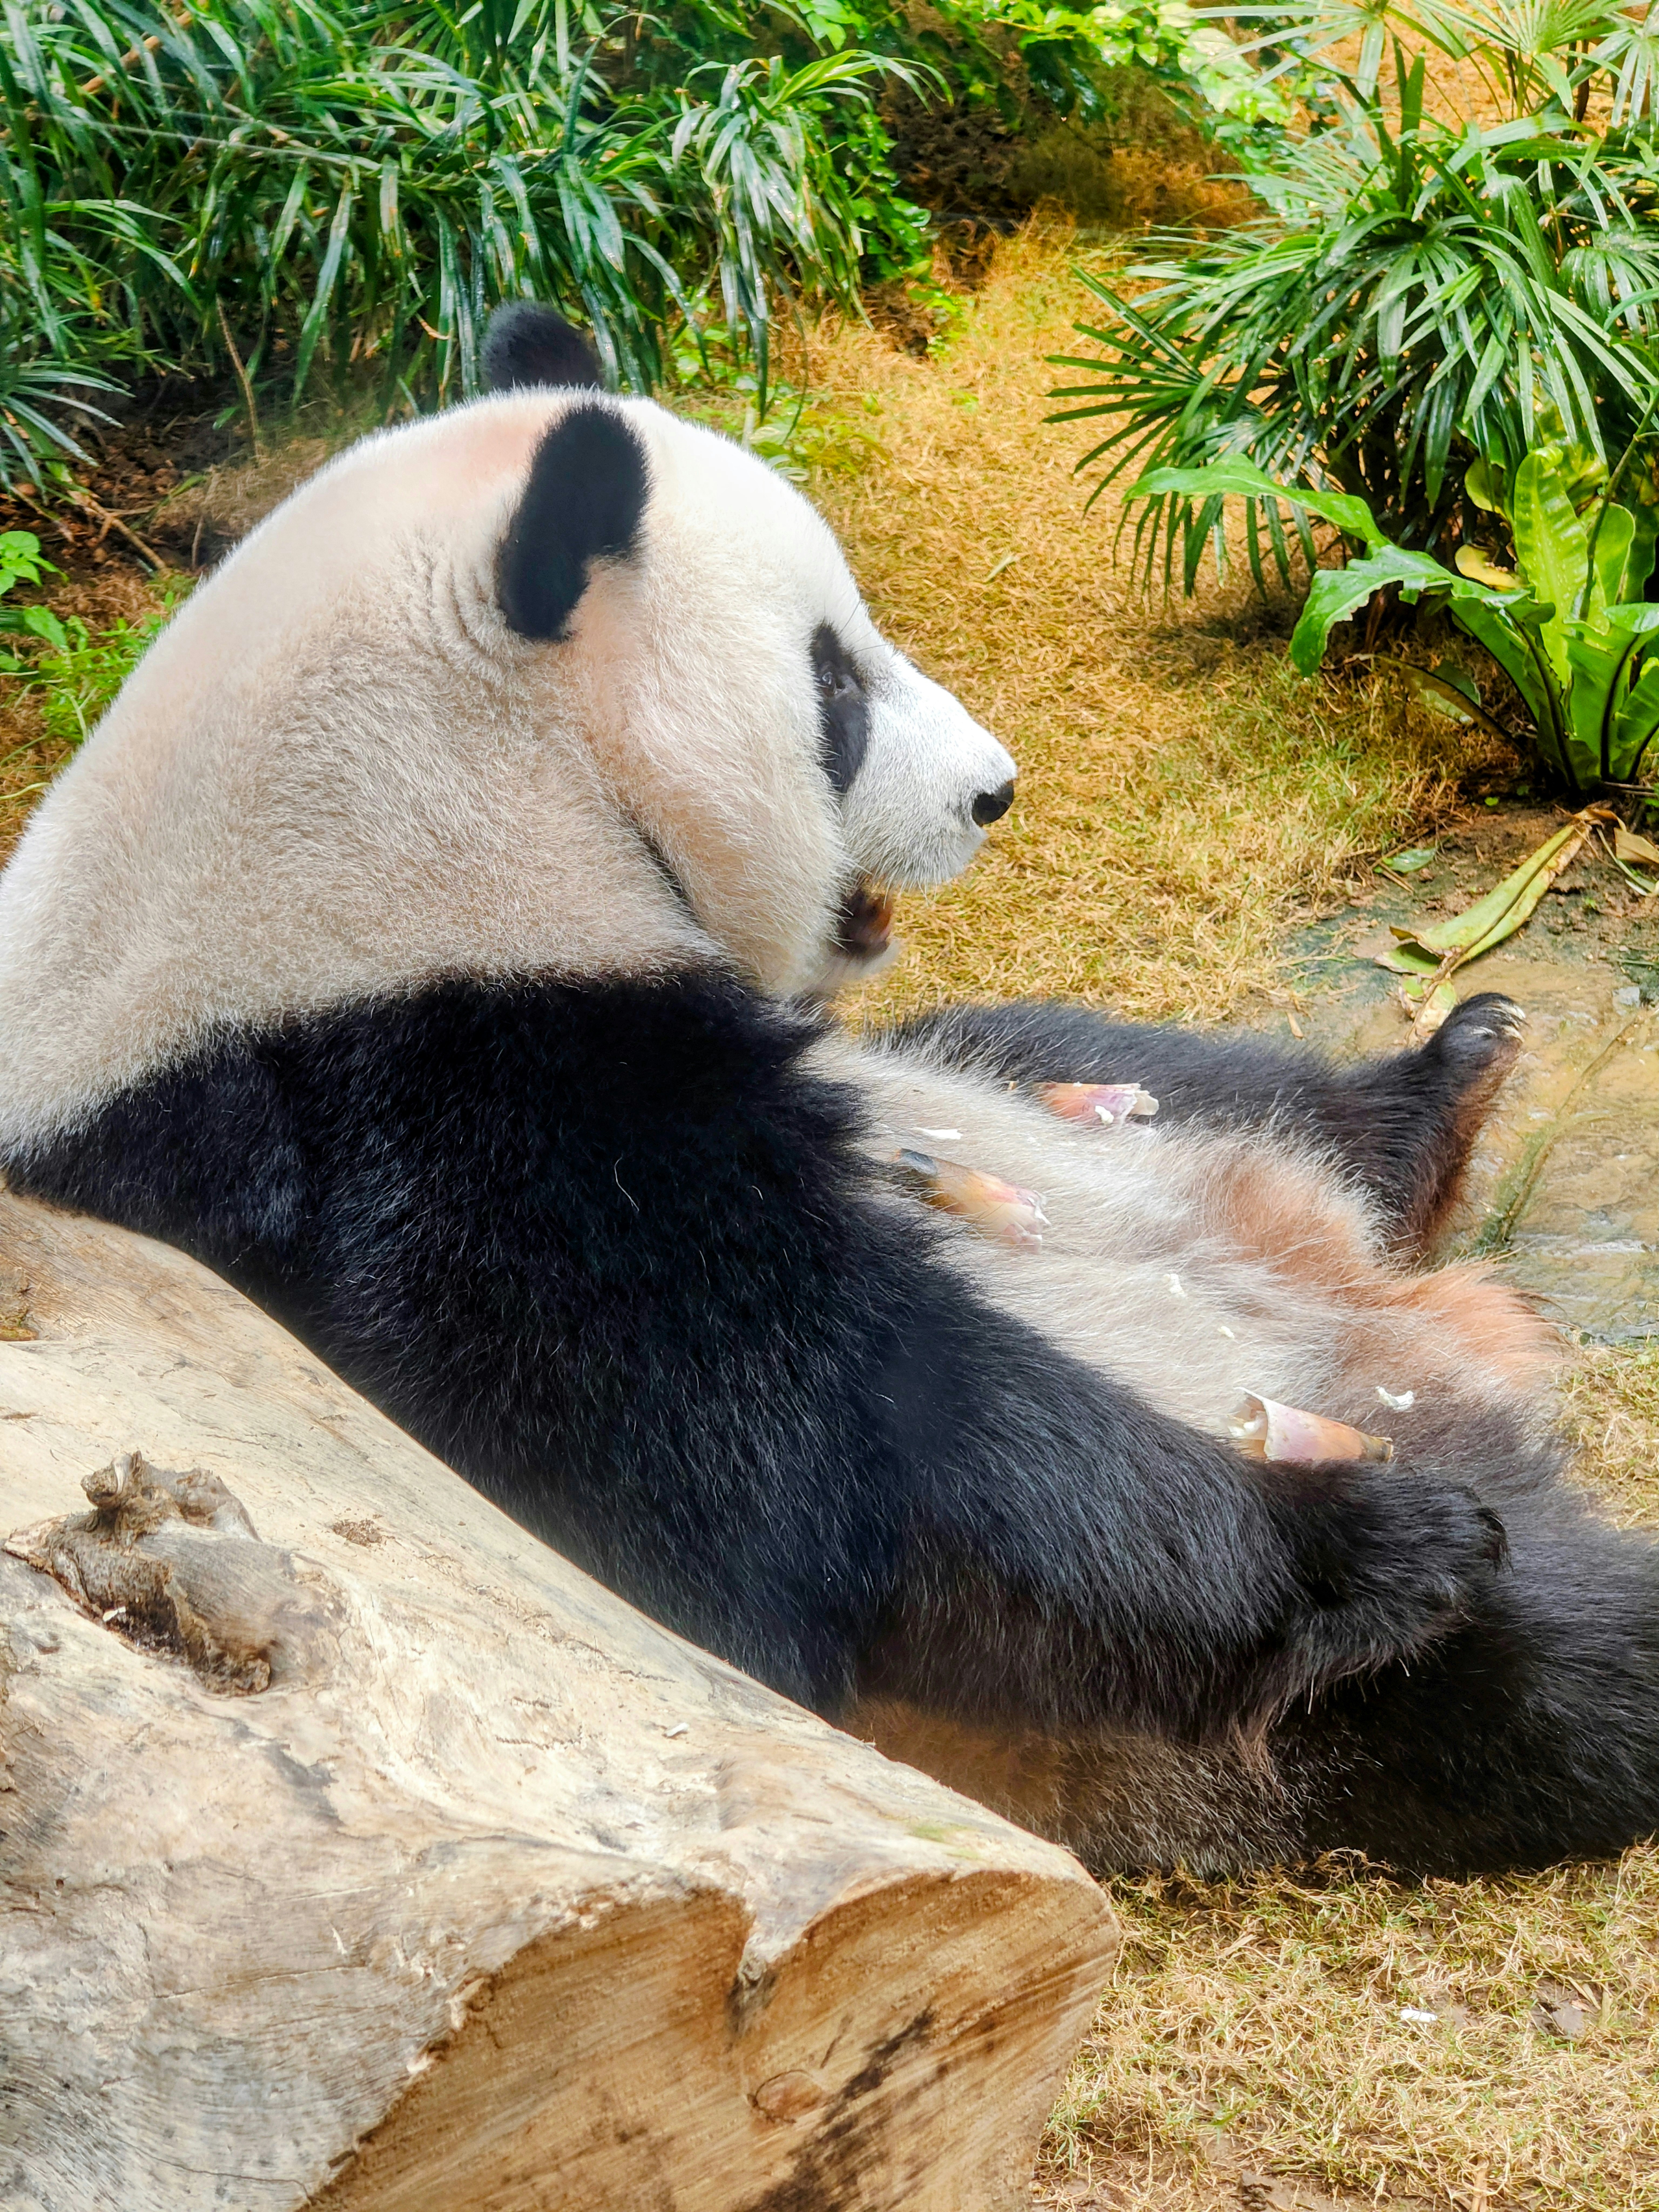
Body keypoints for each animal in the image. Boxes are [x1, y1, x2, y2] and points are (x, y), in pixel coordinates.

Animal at [1, 302, 1655, 1879]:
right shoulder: (427, 1114)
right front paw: (1363, 1542)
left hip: (1023, 1086)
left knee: (1096, 1057)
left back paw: (1445, 1088)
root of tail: (1406, 1331)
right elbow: (820, 1460)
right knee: (1546, 1661)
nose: (995, 790)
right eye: (834, 683)